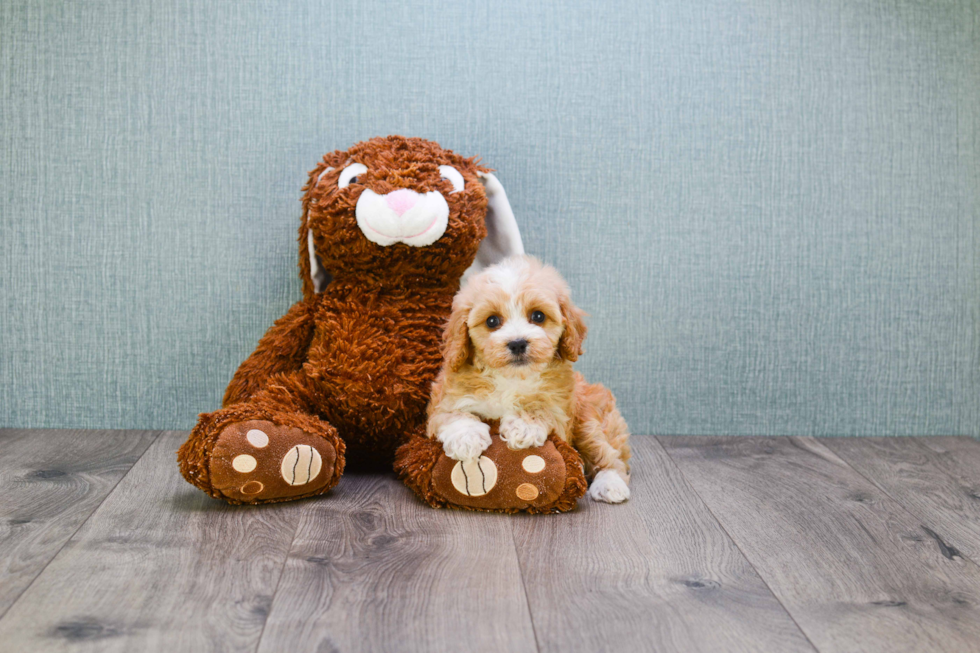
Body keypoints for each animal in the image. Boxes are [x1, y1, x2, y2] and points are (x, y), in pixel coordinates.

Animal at [430, 252, 636, 502]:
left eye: (538, 316)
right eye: (492, 321)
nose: (518, 343)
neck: (511, 378)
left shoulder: (561, 409)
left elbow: (542, 406)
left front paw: (523, 426)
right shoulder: (444, 399)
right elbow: (451, 414)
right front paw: (466, 438)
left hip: (589, 419)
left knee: (608, 456)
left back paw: (610, 485)